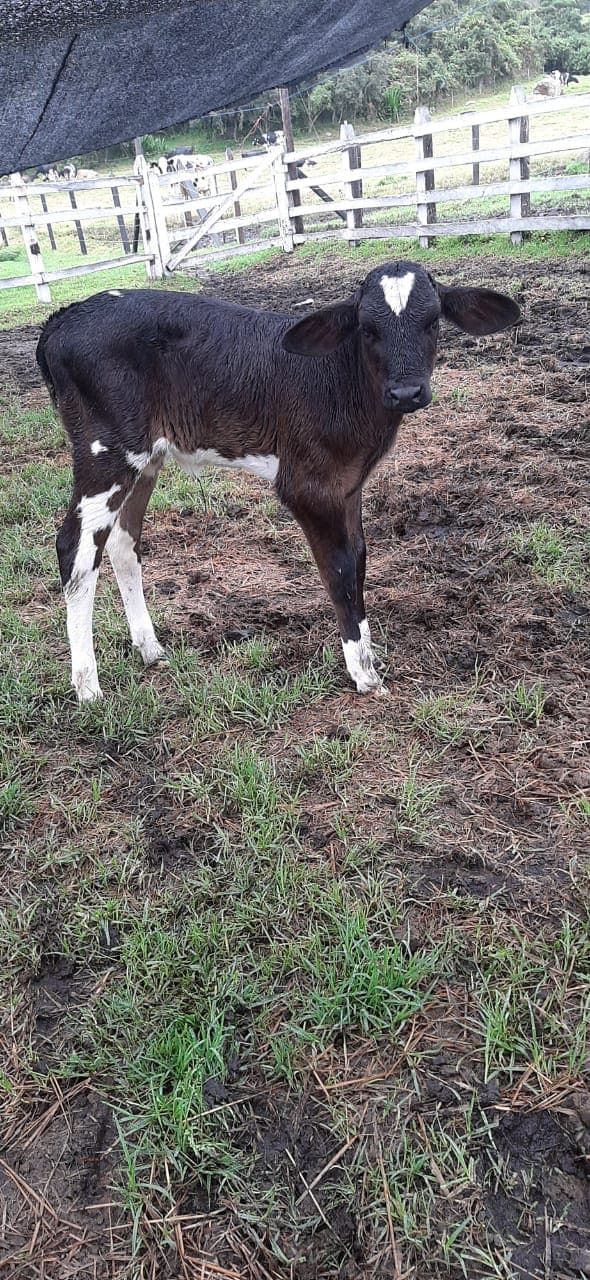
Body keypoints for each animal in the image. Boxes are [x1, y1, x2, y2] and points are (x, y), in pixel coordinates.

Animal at [35, 262, 520, 702]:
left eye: (433, 320)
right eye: (367, 328)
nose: (406, 393)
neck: (341, 381)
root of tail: (64, 317)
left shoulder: (349, 485)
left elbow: (360, 557)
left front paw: (369, 652)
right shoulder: (309, 486)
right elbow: (340, 568)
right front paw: (363, 674)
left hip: (146, 456)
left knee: (122, 542)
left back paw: (150, 649)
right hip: (106, 449)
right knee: (75, 549)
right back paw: (88, 688)